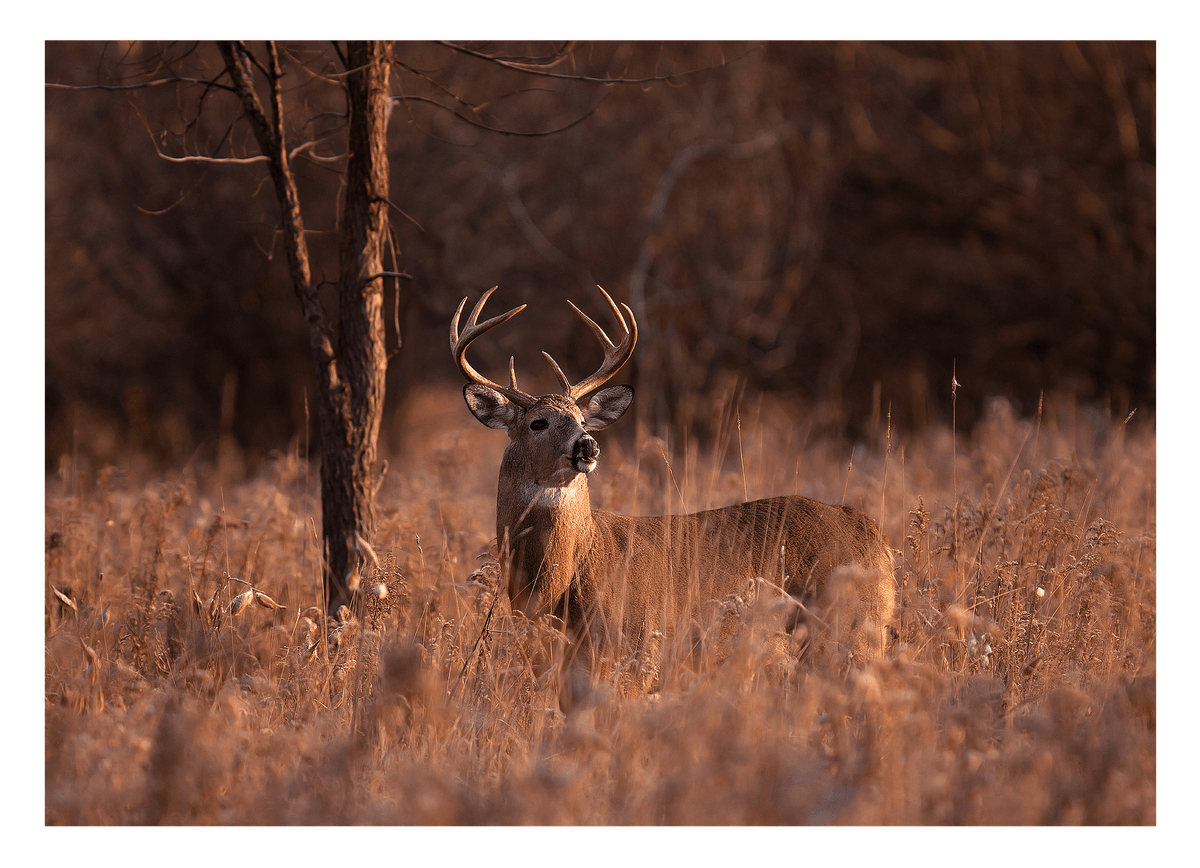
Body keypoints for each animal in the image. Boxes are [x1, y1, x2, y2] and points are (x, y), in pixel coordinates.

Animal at [452, 285, 896, 686]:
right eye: (537, 423)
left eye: (580, 418)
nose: (588, 444)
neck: (559, 585)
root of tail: (874, 536)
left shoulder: (634, 649)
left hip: (847, 630)